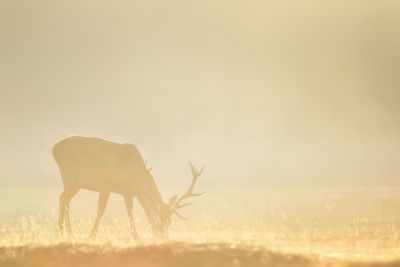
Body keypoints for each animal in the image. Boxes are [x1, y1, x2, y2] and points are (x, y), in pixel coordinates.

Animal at [52, 136, 205, 241]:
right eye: (158, 220)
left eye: (170, 222)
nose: (164, 237)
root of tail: (54, 149)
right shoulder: (106, 185)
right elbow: (100, 212)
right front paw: (92, 236)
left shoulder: (128, 193)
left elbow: (130, 214)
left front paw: (136, 237)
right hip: (70, 178)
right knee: (63, 198)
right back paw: (65, 233)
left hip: (74, 183)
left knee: (63, 198)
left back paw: (63, 233)